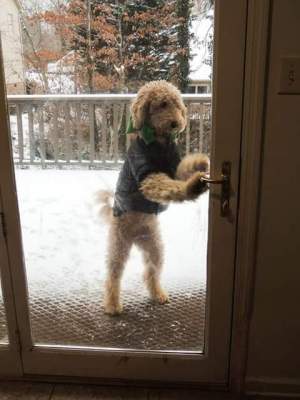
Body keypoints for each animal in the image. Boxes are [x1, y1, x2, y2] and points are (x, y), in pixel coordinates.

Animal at [98, 79, 209, 314]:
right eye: (162, 104)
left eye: (177, 103)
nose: (176, 123)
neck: (159, 143)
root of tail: (137, 235)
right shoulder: (147, 175)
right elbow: (168, 186)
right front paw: (193, 187)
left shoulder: (174, 167)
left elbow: (183, 170)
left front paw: (200, 163)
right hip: (118, 246)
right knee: (113, 277)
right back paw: (112, 305)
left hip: (155, 247)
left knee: (150, 272)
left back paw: (158, 294)